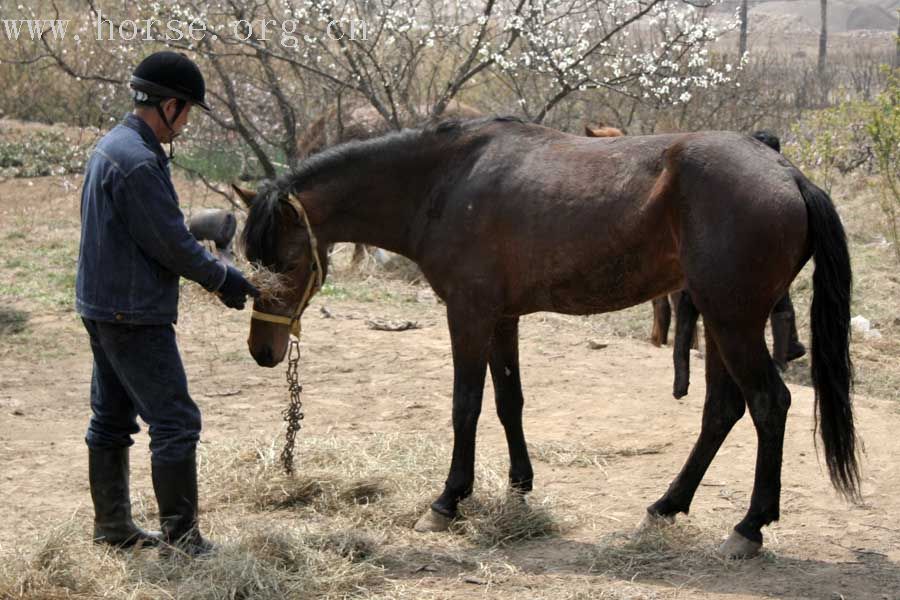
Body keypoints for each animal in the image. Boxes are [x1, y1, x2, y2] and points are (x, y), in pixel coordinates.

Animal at [237, 116, 856, 556]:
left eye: (285, 263)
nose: (263, 352)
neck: (444, 181)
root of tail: (789, 174)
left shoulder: (468, 315)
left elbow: (466, 405)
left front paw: (448, 500)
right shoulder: (501, 318)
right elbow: (508, 401)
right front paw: (519, 485)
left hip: (733, 323)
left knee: (769, 404)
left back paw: (749, 526)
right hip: (720, 321)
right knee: (722, 410)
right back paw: (667, 505)